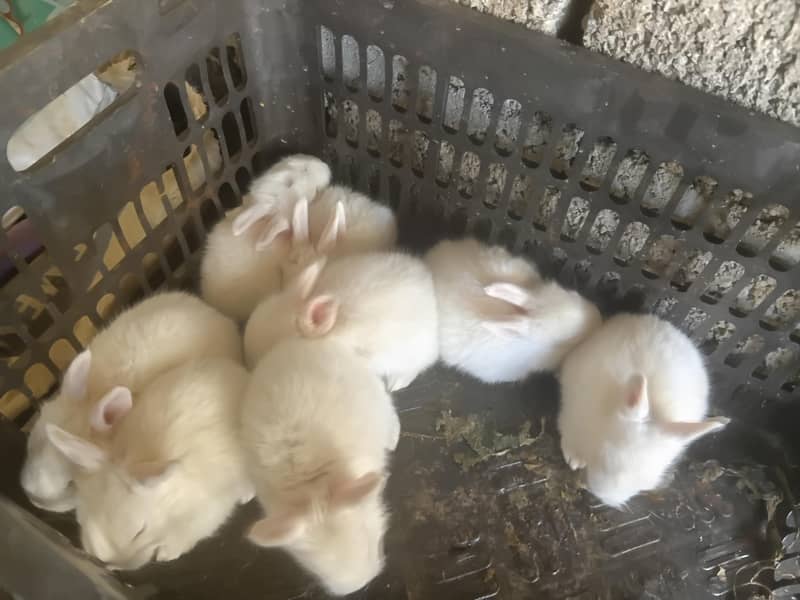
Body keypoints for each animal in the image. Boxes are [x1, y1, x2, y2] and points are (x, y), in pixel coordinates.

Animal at [45, 357, 253, 570]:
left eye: (140, 531)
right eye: (81, 520)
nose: (115, 567)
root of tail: (235, 370)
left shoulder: (208, 512)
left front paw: (167, 554)